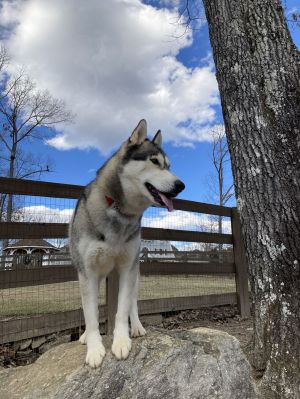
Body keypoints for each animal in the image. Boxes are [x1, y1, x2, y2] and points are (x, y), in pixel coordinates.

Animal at [69, 120, 185, 370]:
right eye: (154, 162)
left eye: (169, 166)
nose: (181, 185)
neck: (118, 210)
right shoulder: (87, 272)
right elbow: (91, 315)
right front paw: (94, 347)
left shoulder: (127, 267)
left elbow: (122, 310)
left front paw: (122, 341)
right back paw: (85, 336)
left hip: (133, 272)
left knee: (132, 301)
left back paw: (138, 327)